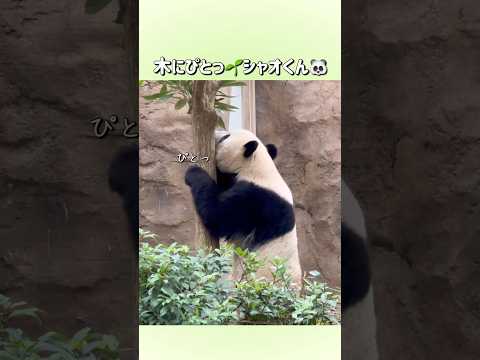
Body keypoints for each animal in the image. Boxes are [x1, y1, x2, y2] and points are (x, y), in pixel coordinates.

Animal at [184, 129, 300, 284]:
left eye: (226, 136)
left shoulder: (255, 199)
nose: (216, 132)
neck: (257, 166)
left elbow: (218, 215)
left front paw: (193, 172)